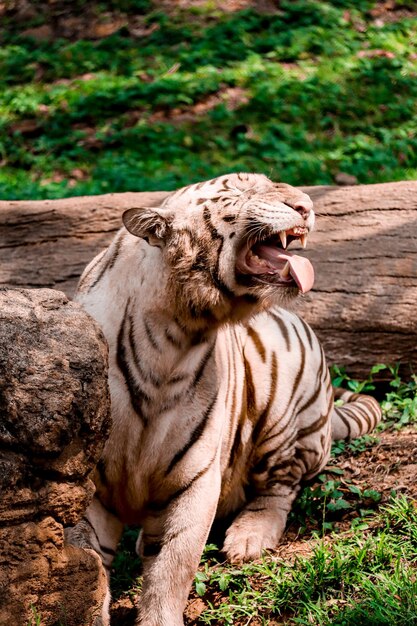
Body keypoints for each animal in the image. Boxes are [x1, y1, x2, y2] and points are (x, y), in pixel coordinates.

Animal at [66, 171, 380, 624]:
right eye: (239, 191)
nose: (305, 205)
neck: (172, 338)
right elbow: (87, 569)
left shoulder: (195, 479)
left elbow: (173, 567)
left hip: (283, 405)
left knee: (280, 489)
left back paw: (248, 538)